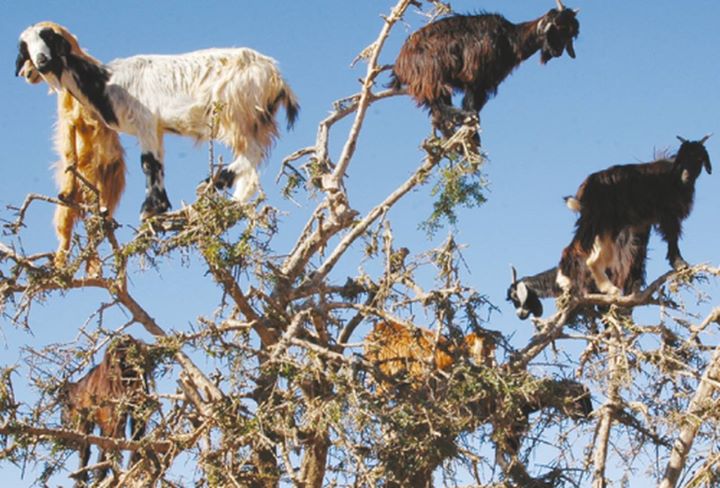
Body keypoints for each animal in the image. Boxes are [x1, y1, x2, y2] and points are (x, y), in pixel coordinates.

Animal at [16, 21, 298, 218]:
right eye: (25, 47)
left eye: (49, 38)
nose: (41, 62)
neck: (106, 82)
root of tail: (276, 77)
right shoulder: (157, 129)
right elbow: (158, 163)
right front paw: (158, 207)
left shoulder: (146, 122)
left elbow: (148, 164)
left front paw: (150, 209)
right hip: (254, 120)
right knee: (254, 160)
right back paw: (233, 198)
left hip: (236, 113)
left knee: (252, 153)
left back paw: (213, 184)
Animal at [59, 336, 153, 484]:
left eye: (63, 406)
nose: (62, 421)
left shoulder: (87, 417)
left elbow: (86, 447)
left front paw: (81, 477)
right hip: (139, 401)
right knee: (137, 435)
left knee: (111, 440)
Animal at [388, 0, 580, 135]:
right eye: (557, 27)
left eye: (571, 33)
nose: (557, 52)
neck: (510, 38)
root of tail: (400, 63)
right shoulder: (475, 77)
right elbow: (471, 105)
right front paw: (470, 121)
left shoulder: (485, 83)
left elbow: (474, 104)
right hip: (431, 75)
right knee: (437, 106)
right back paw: (460, 120)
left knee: (437, 112)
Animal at [564, 136, 712, 294]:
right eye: (682, 157)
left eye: (699, 158)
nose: (687, 176)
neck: (673, 176)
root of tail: (585, 187)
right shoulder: (668, 214)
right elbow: (672, 237)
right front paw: (680, 263)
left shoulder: (644, 224)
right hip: (594, 222)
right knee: (573, 249)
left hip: (605, 227)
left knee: (592, 259)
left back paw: (610, 288)